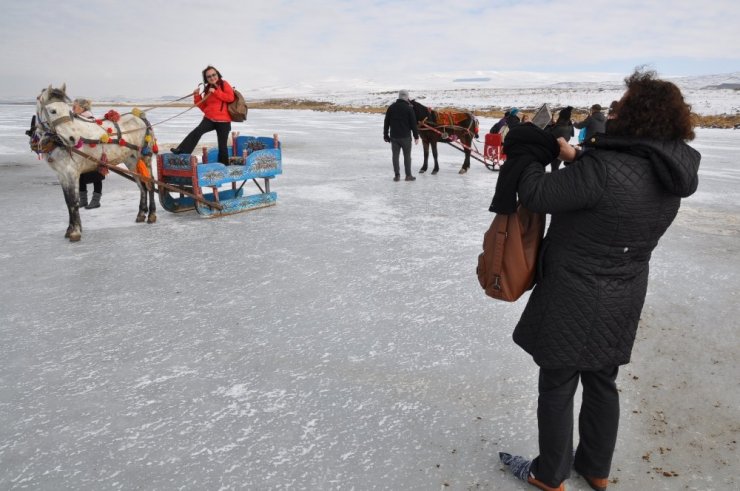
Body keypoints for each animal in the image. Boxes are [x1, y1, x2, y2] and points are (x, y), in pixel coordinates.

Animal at [34, 87, 158, 244]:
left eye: (68, 110)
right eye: (53, 110)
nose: (73, 139)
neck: (57, 142)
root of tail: (140, 117)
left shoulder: (71, 173)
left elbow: (74, 202)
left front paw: (75, 232)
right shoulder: (61, 175)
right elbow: (68, 202)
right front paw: (70, 230)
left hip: (145, 156)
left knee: (150, 184)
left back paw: (152, 215)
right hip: (131, 161)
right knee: (142, 186)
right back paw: (141, 213)